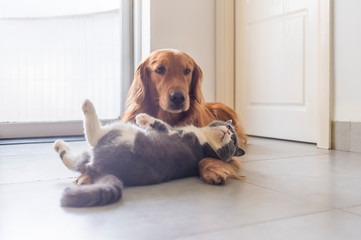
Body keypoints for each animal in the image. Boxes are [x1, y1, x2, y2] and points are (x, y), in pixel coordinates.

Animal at [52, 98, 245, 207]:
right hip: (93, 153)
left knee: (93, 134)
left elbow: (159, 123)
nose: (229, 134)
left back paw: (87, 107)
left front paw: (143, 118)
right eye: (229, 129)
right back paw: (59, 146)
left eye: (233, 142)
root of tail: (102, 169)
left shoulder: (172, 131)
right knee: (75, 161)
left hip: (121, 133)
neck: (206, 141)